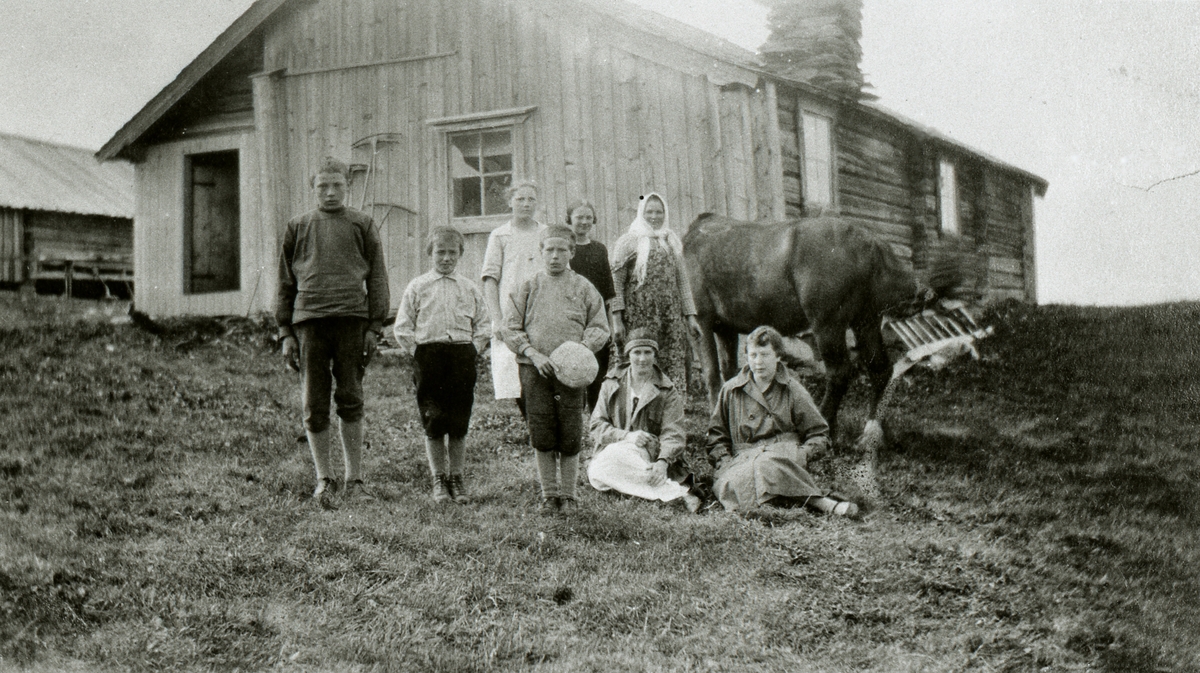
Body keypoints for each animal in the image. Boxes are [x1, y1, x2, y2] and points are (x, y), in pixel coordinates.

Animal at [691, 214, 960, 443]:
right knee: (879, 368)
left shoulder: (701, 322)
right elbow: (728, 372)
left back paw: (828, 426)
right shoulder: (724, 328)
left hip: (828, 325)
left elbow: (712, 374)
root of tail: (871, 243)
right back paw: (872, 434)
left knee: (840, 372)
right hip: (865, 321)